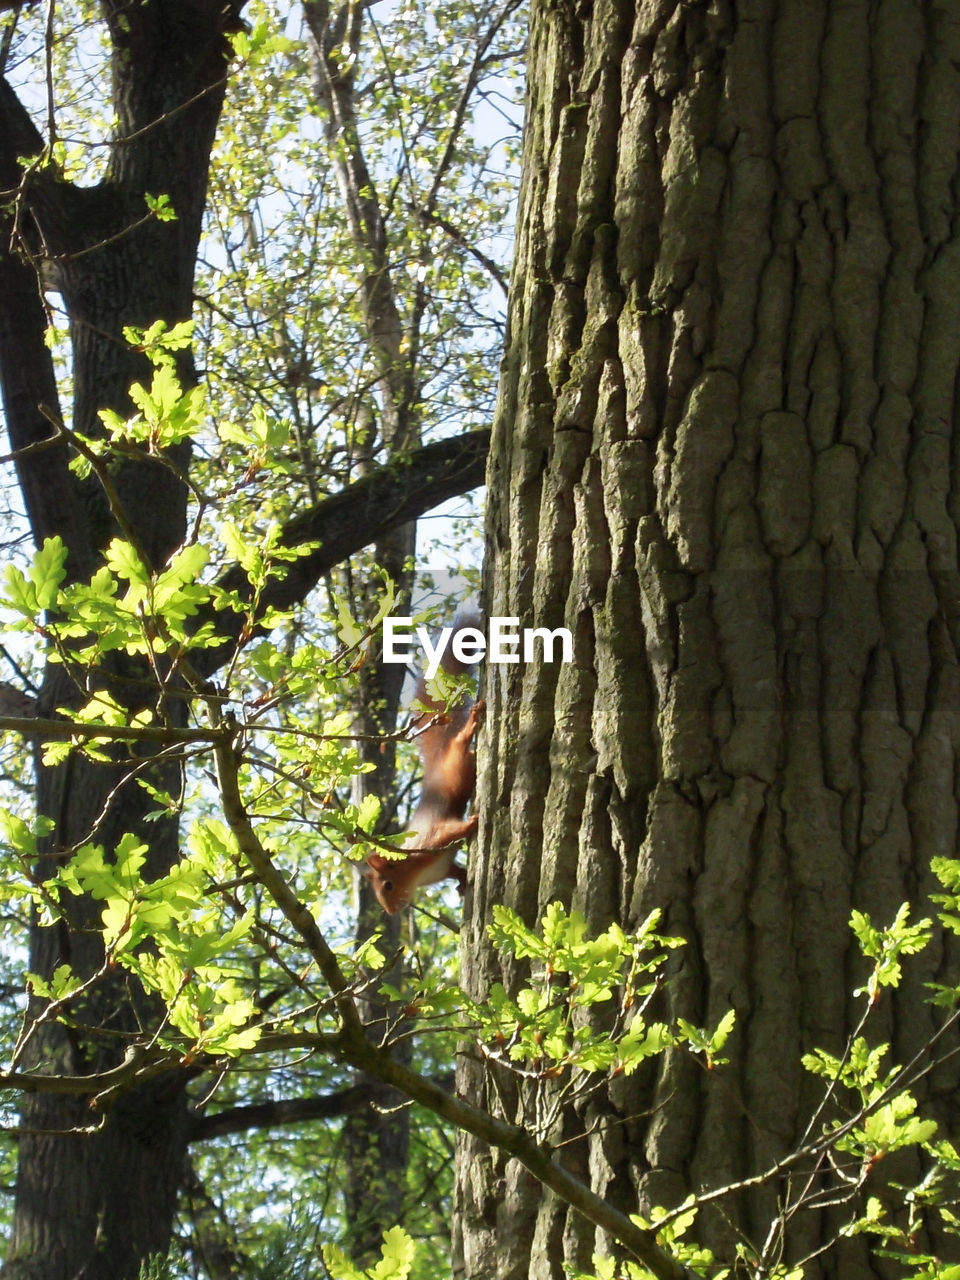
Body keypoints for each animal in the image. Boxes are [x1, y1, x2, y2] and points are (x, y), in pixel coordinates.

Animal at [368, 616, 488, 911]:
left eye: (387, 884)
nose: (391, 911)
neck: (417, 870)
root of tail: (435, 763)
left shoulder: (432, 840)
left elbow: (452, 830)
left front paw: (472, 823)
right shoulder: (441, 869)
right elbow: (455, 871)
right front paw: (462, 883)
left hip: (455, 762)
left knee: (459, 742)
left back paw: (472, 722)